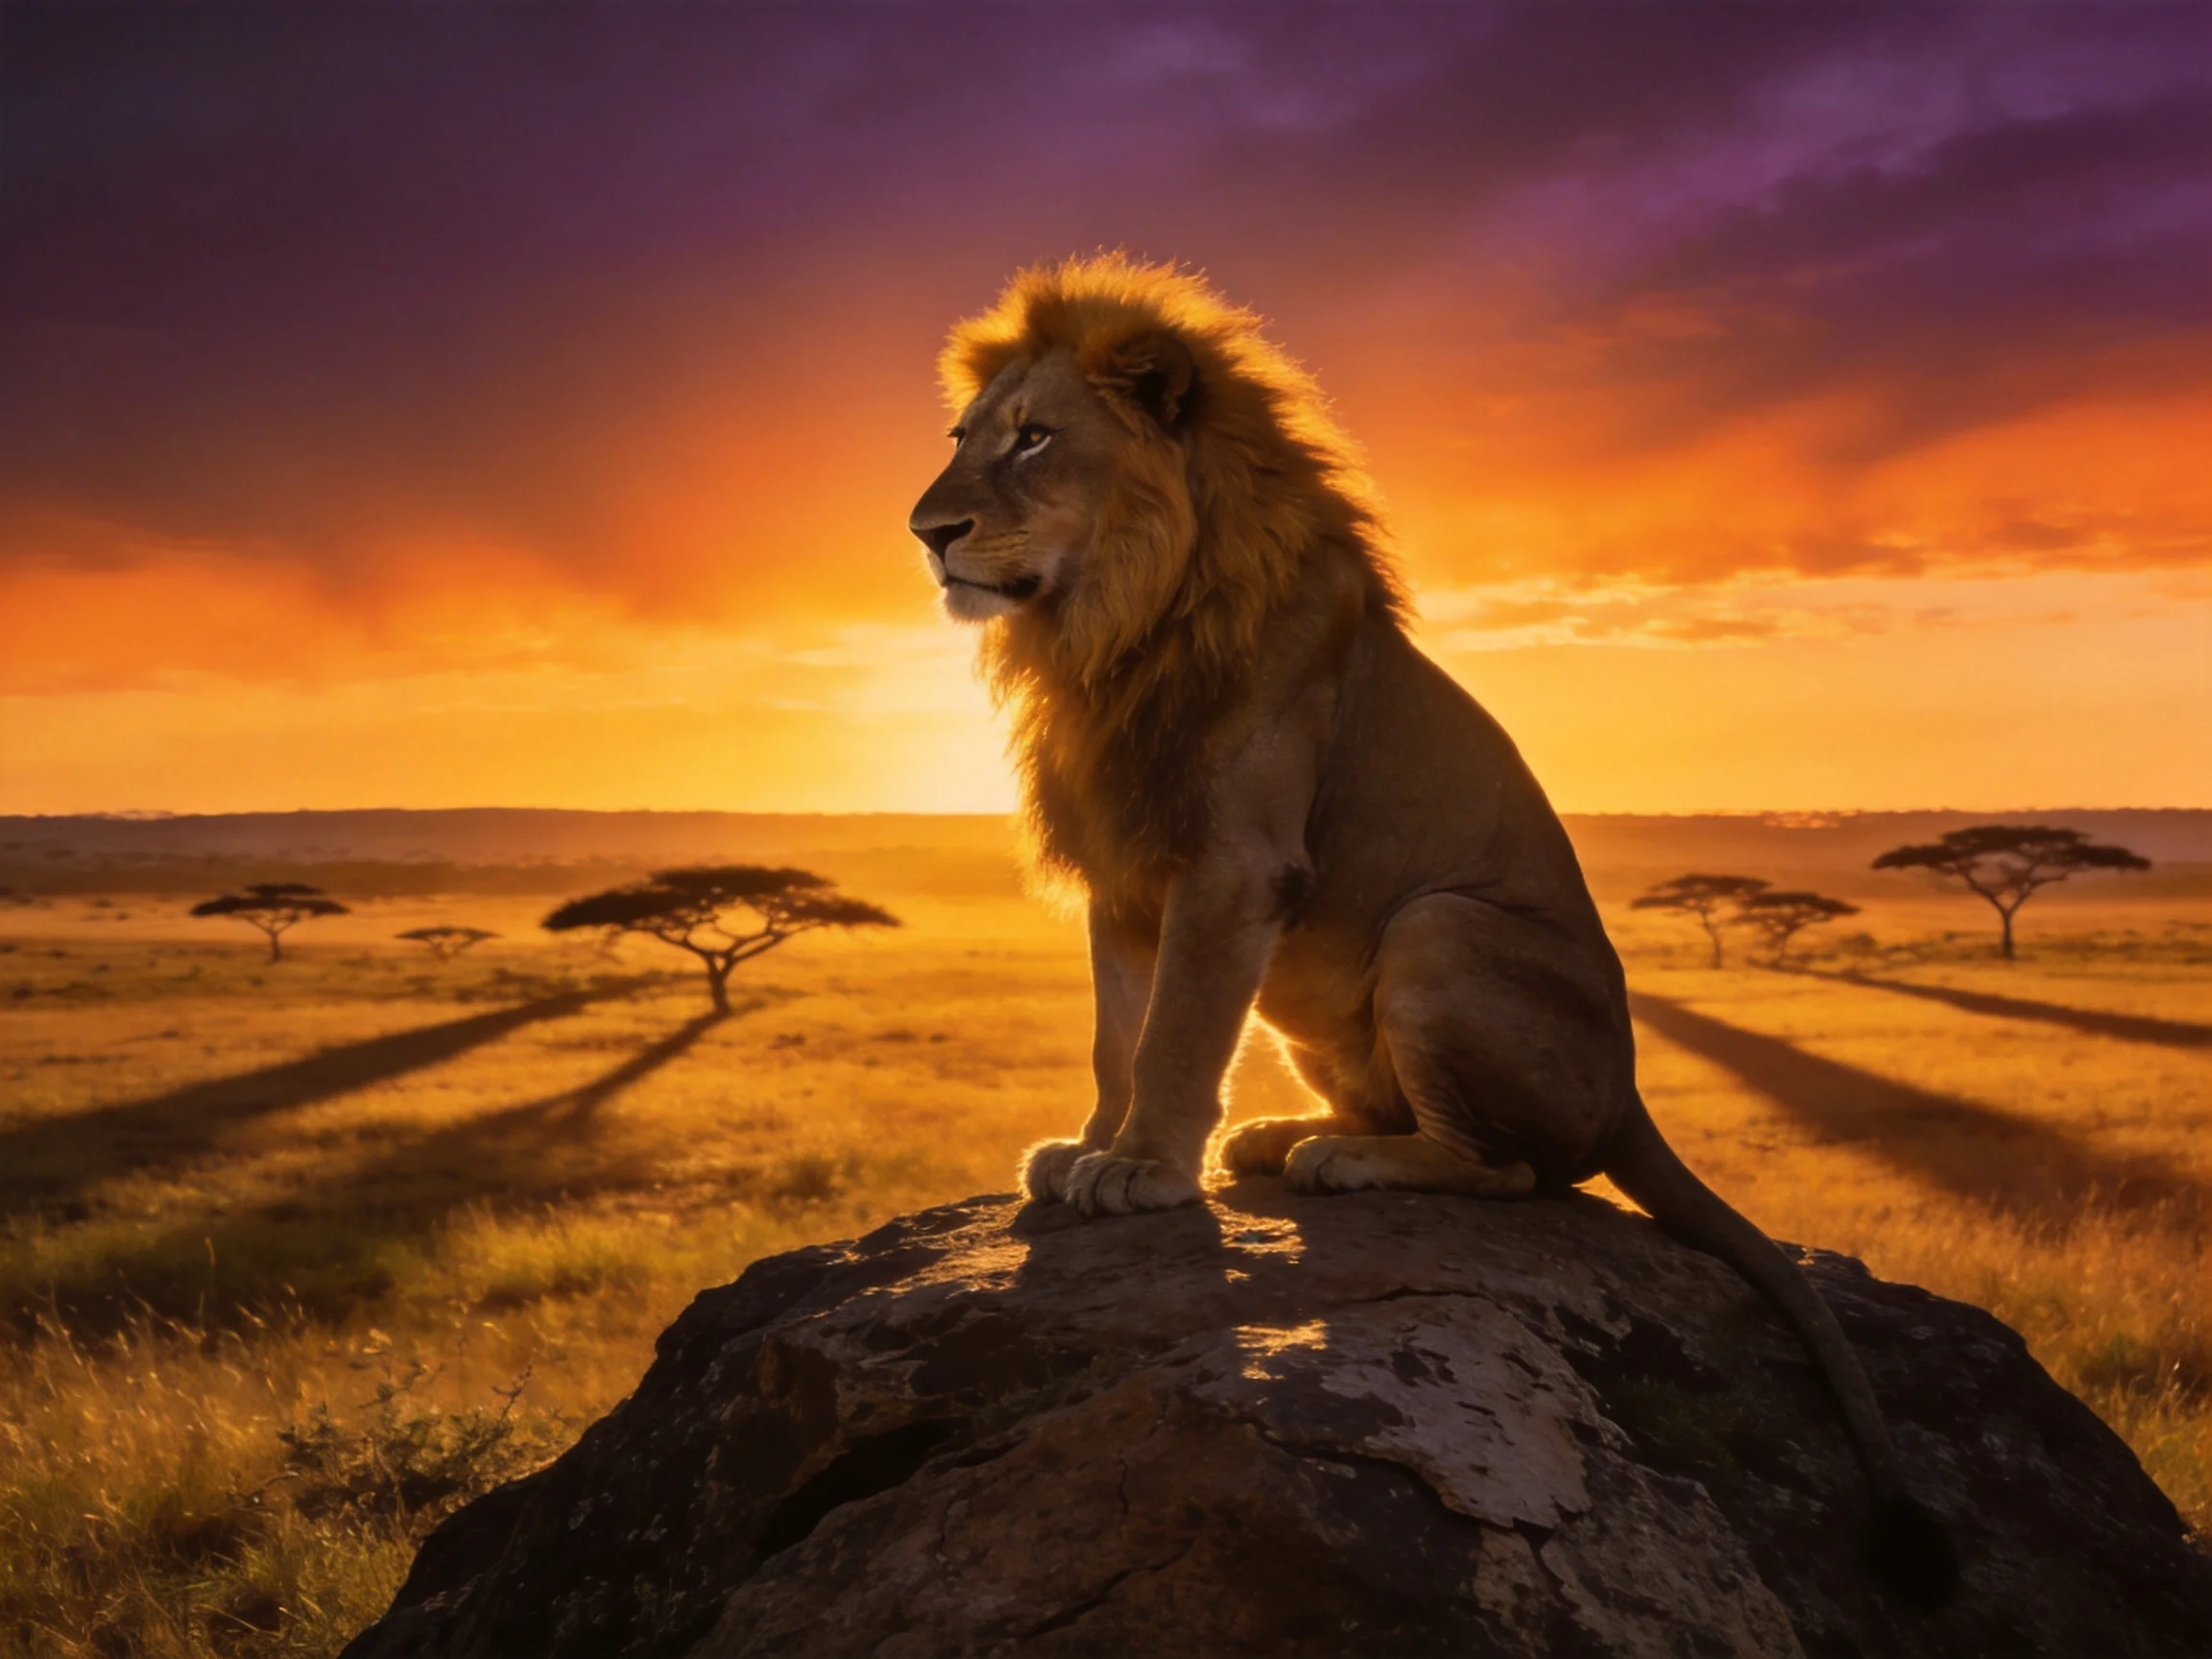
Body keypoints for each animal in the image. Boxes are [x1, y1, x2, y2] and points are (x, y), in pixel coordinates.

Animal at [908, 254, 1954, 1603]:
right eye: (964, 441)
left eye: (1036, 439)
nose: (926, 532)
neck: (1116, 625)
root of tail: (1631, 1095)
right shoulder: (1127, 870)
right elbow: (1115, 1034)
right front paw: (1090, 1145)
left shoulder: (1234, 862)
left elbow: (1178, 1033)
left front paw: (1143, 1170)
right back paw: (1280, 1137)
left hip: (1440, 926)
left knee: (1506, 1168)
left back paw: (1339, 1162)